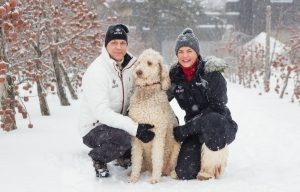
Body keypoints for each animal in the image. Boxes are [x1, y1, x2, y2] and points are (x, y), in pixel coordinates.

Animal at [127, 48, 180, 184]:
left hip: (176, 147)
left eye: (149, 63)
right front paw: (133, 177)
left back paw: (173, 174)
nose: (138, 72)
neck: (146, 93)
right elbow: (136, 159)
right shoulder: (136, 134)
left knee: (172, 165)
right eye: (138, 62)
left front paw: (155, 178)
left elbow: (157, 158)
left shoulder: (158, 133)